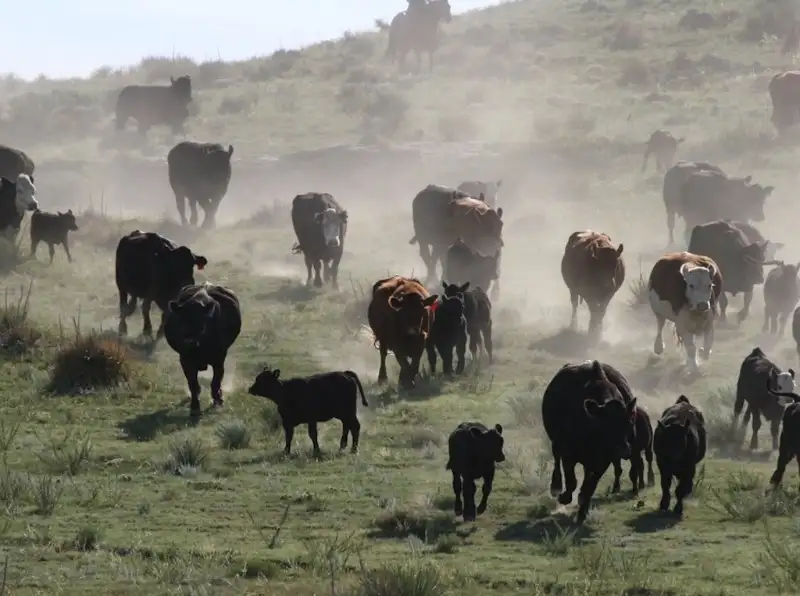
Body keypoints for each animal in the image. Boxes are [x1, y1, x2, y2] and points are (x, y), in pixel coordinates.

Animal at [162, 282, 238, 414]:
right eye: (180, 321)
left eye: (202, 322)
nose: (190, 341)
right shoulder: (185, 360)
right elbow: (193, 385)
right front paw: (195, 408)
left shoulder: (219, 359)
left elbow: (215, 382)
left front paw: (218, 400)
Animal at [540, 358, 636, 520]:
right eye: (604, 425)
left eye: (629, 422)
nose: (622, 450)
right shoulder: (568, 453)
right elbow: (572, 481)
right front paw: (565, 497)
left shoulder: (603, 460)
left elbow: (590, 486)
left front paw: (582, 511)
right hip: (556, 443)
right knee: (556, 459)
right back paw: (556, 487)